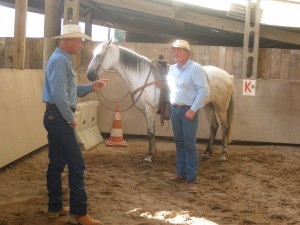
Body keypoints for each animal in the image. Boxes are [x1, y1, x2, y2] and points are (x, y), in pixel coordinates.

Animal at [85, 40, 233, 163]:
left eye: (99, 55)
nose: (89, 74)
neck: (143, 76)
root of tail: (227, 75)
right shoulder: (148, 112)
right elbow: (152, 131)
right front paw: (153, 152)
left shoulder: (150, 110)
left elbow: (150, 132)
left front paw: (149, 156)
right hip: (209, 106)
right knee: (214, 127)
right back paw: (207, 153)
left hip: (220, 107)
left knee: (224, 127)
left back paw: (223, 154)